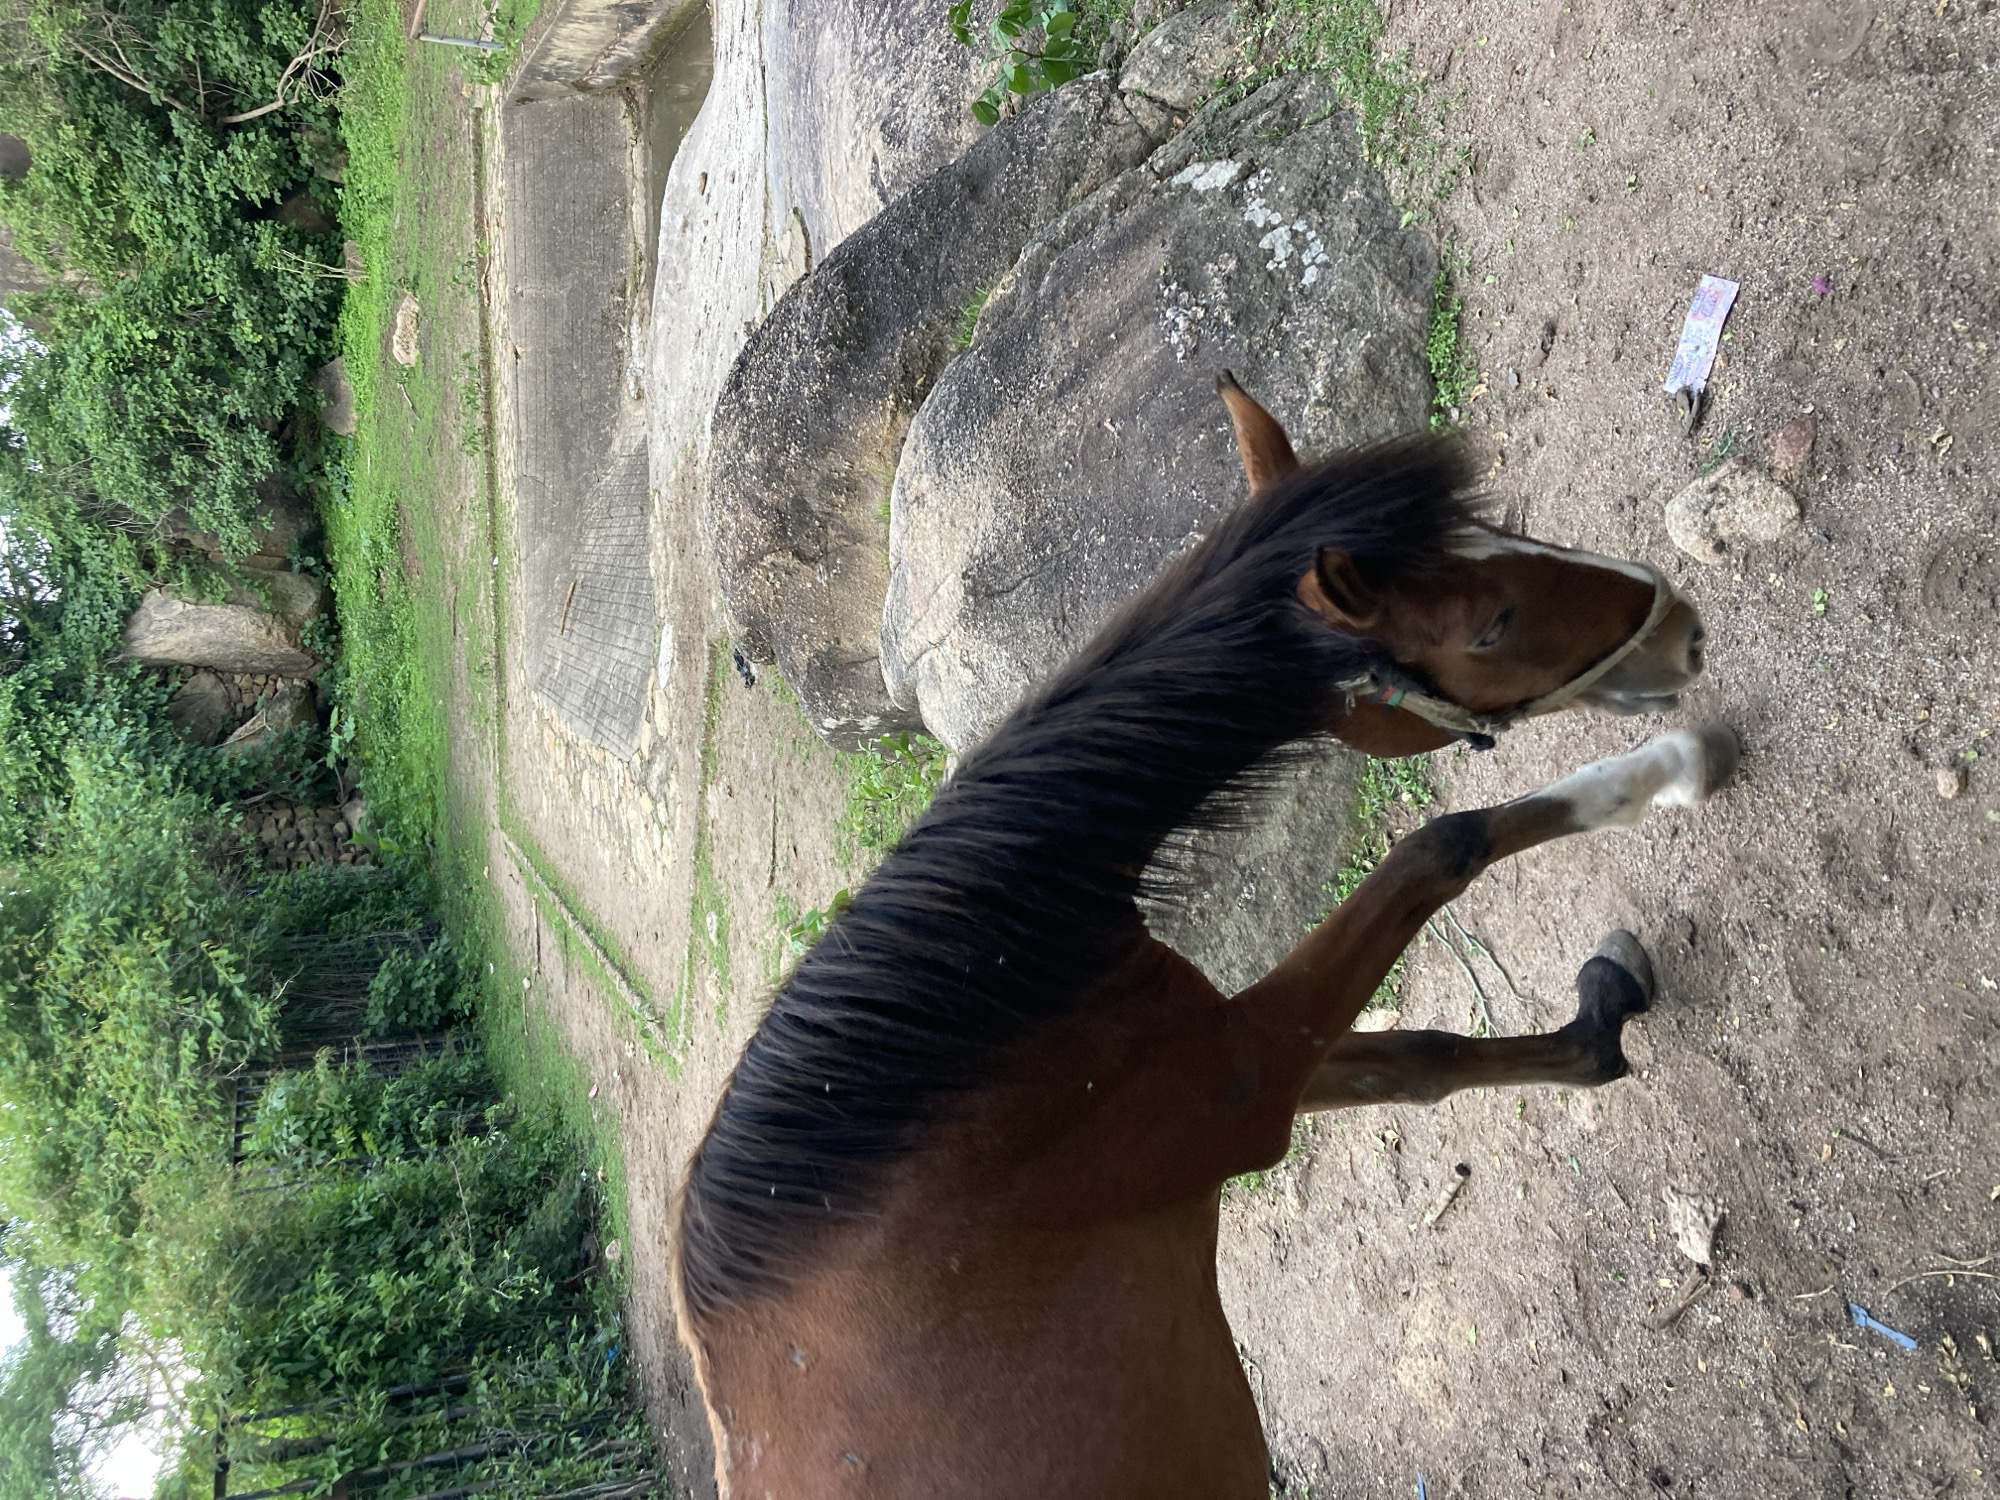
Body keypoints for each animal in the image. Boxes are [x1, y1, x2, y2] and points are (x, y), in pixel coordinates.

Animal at [674, 377, 1733, 1498]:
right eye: (1491, 622)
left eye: (1495, 539)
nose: (1681, 628)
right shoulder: (1244, 1078)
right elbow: (1442, 848)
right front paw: (1672, 768)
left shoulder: (1212, 1066)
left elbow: (1417, 1058)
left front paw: (1599, 1025)